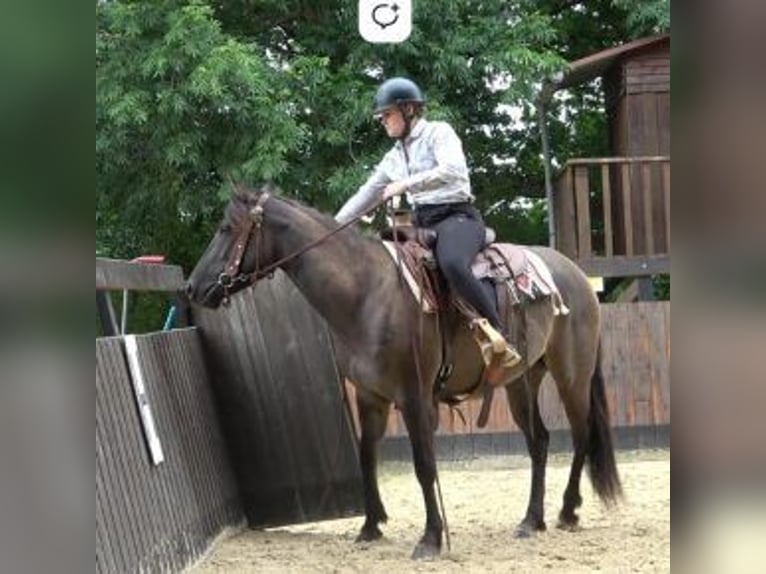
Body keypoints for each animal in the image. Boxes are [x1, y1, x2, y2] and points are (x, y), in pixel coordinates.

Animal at [186, 184, 622, 559]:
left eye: (227, 228)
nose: (193, 287)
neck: (367, 293)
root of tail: (576, 276)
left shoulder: (414, 397)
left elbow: (424, 464)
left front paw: (430, 539)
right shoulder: (371, 397)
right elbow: (367, 456)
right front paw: (370, 526)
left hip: (572, 376)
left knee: (581, 435)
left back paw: (567, 511)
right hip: (521, 383)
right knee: (539, 442)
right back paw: (532, 519)